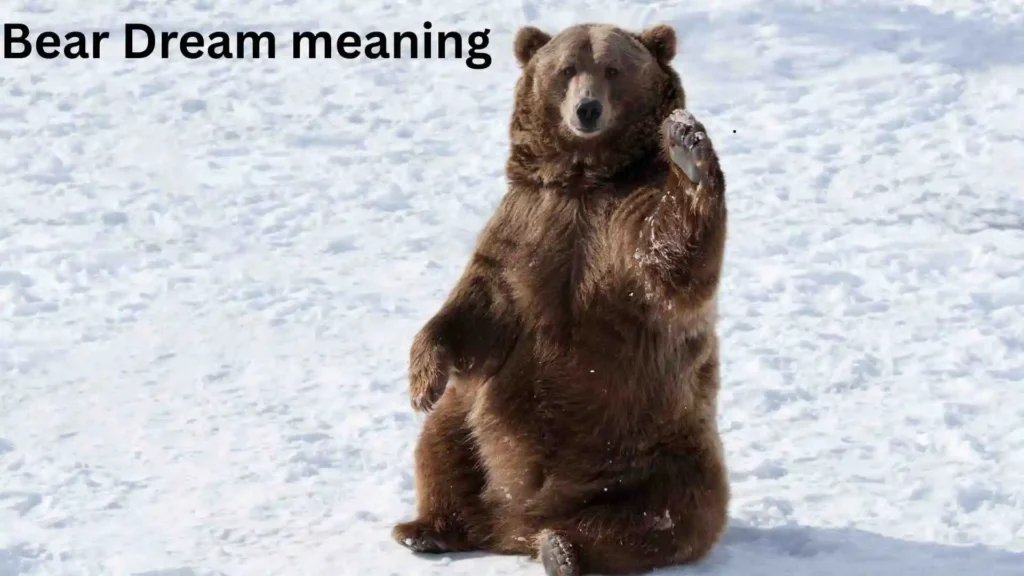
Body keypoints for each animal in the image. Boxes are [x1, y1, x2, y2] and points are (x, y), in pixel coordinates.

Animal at [392, 21, 730, 576]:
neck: (584, 179)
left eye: (612, 68)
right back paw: (427, 527)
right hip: (473, 422)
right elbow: (478, 303)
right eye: (567, 68)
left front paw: (687, 147)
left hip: (660, 449)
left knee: (667, 514)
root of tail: (515, 526)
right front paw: (422, 382)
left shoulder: (623, 224)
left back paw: (564, 549)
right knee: (442, 446)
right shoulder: (528, 224)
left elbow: (671, 264)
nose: (587, 109)